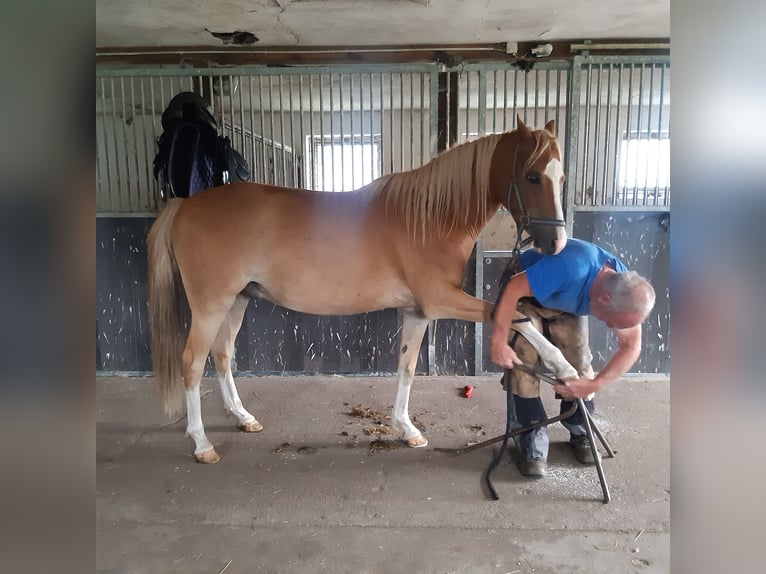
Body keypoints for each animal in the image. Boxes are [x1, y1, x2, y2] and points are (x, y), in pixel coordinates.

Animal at [147, 116, 578, 463]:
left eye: (562, 178)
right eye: (532, 176)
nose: (556, 244)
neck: (430, 219)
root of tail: (184, 205)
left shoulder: (417, 311)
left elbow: (407, 367)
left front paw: (406, 429)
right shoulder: (441, 301)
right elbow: (516, 313)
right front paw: (565, 368)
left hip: (237, 301)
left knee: (221, 356)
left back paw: (243, 418)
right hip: (210, 305)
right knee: (192, 363)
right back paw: (202, 444)